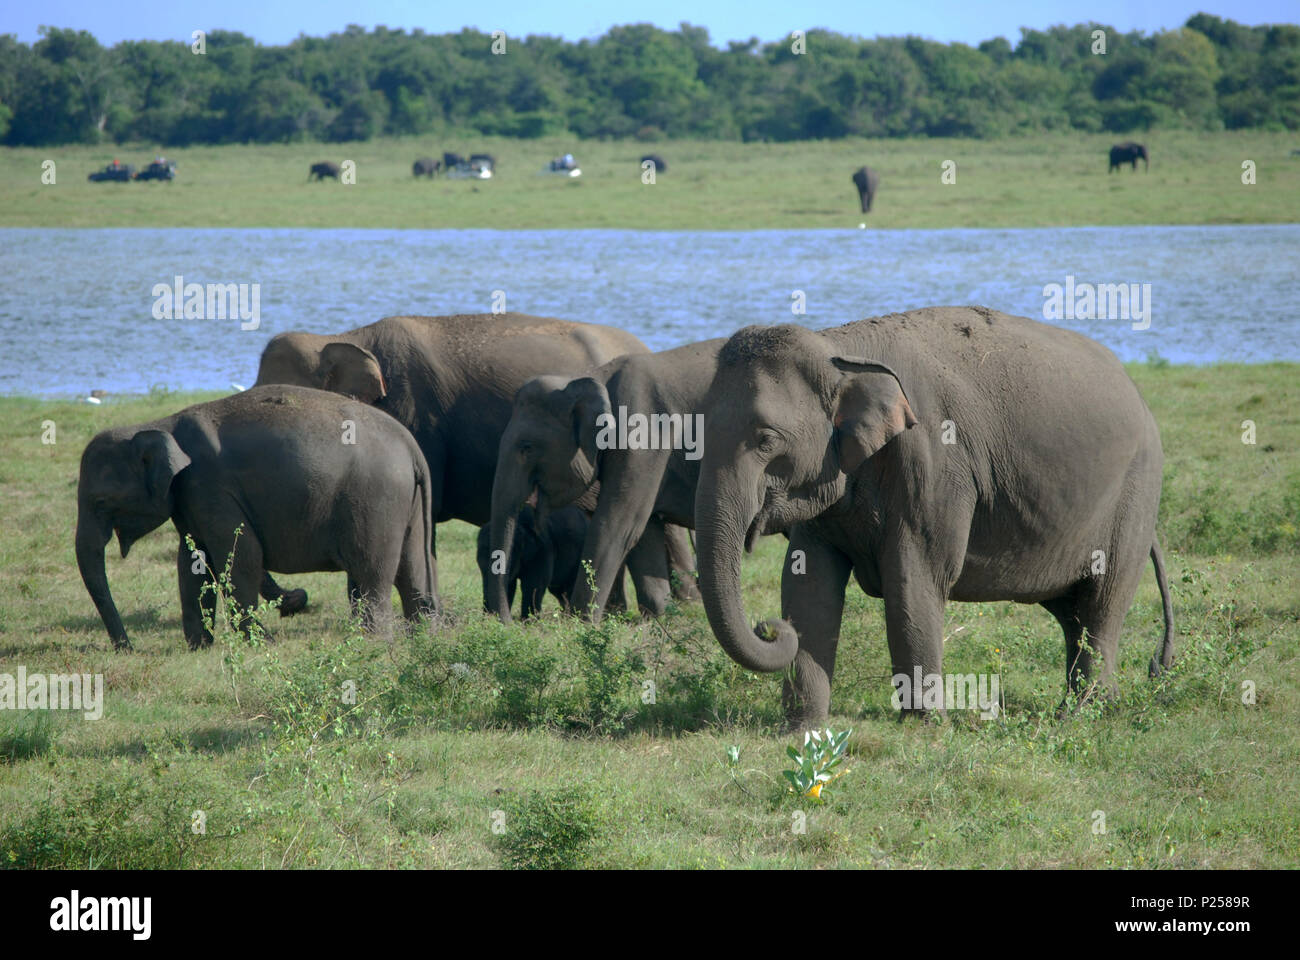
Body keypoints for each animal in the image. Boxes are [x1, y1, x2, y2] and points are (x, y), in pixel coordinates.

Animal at [77, 382, 436, 650]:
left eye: (100, 501)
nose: (127, 647)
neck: (161, 424)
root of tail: (412, 448)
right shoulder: (189, 495)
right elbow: (192, 561)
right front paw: (200, 646)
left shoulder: (211, 487)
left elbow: (239, 558)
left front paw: (262, 643)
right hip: (407, 504)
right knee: (412, 568)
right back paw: (421, 638)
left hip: (376, 501)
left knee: (372, 572)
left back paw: (373, 643)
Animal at [486, 335, 722, 621]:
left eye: (527, 447)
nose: (506, 622)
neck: (594, 377)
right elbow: (645, 528)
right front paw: (658, 617)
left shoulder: (643, 440)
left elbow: (619, 524)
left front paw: (579, 622)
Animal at [696, 306, 1175, 723]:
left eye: (766, 439)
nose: (770, 628)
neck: (839, 349)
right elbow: (807, 582)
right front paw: (801, 729)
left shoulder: (935, 465)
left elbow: (915, 575)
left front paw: (924, 726)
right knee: (1072, 614)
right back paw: (1082, 707)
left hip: (1135, 494)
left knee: (1102, 603)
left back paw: (1085, 713)